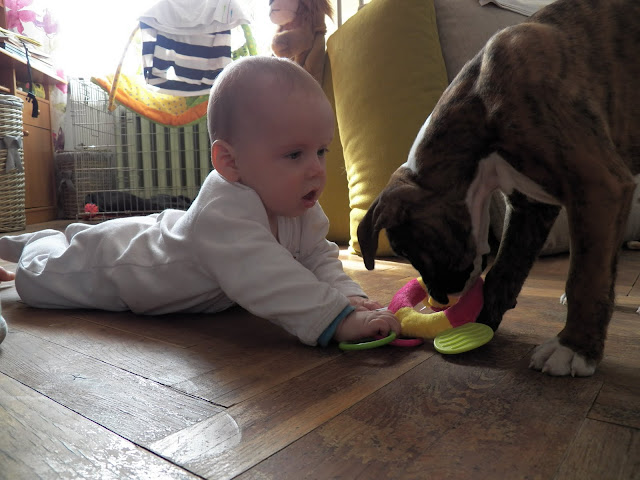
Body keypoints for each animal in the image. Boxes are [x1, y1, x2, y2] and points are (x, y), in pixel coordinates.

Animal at [357, 0, 640, 377]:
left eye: (407, 249)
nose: (440, 299)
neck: (478, 106)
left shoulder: (598, 185)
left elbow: (586, 277)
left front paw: (574, 348)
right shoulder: (530, 206)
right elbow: (505, 269)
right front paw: (481, 322)